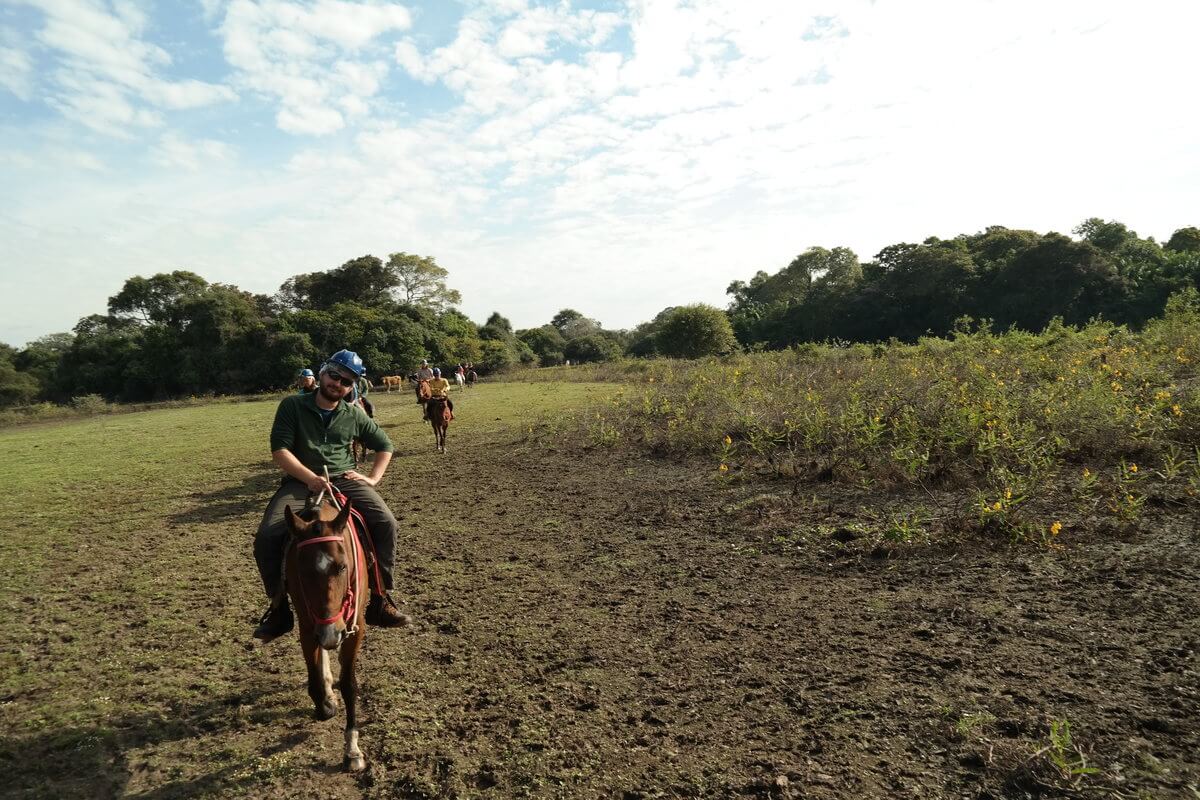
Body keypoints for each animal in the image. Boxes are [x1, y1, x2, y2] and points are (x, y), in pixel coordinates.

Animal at [284, 501, 364, 767]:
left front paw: (352, 748)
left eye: (342, 566)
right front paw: (324, 706)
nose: (331, 632)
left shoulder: (355, 627)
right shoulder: (308, 627)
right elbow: (315, 680)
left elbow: (349, 684)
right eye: (302, 571)